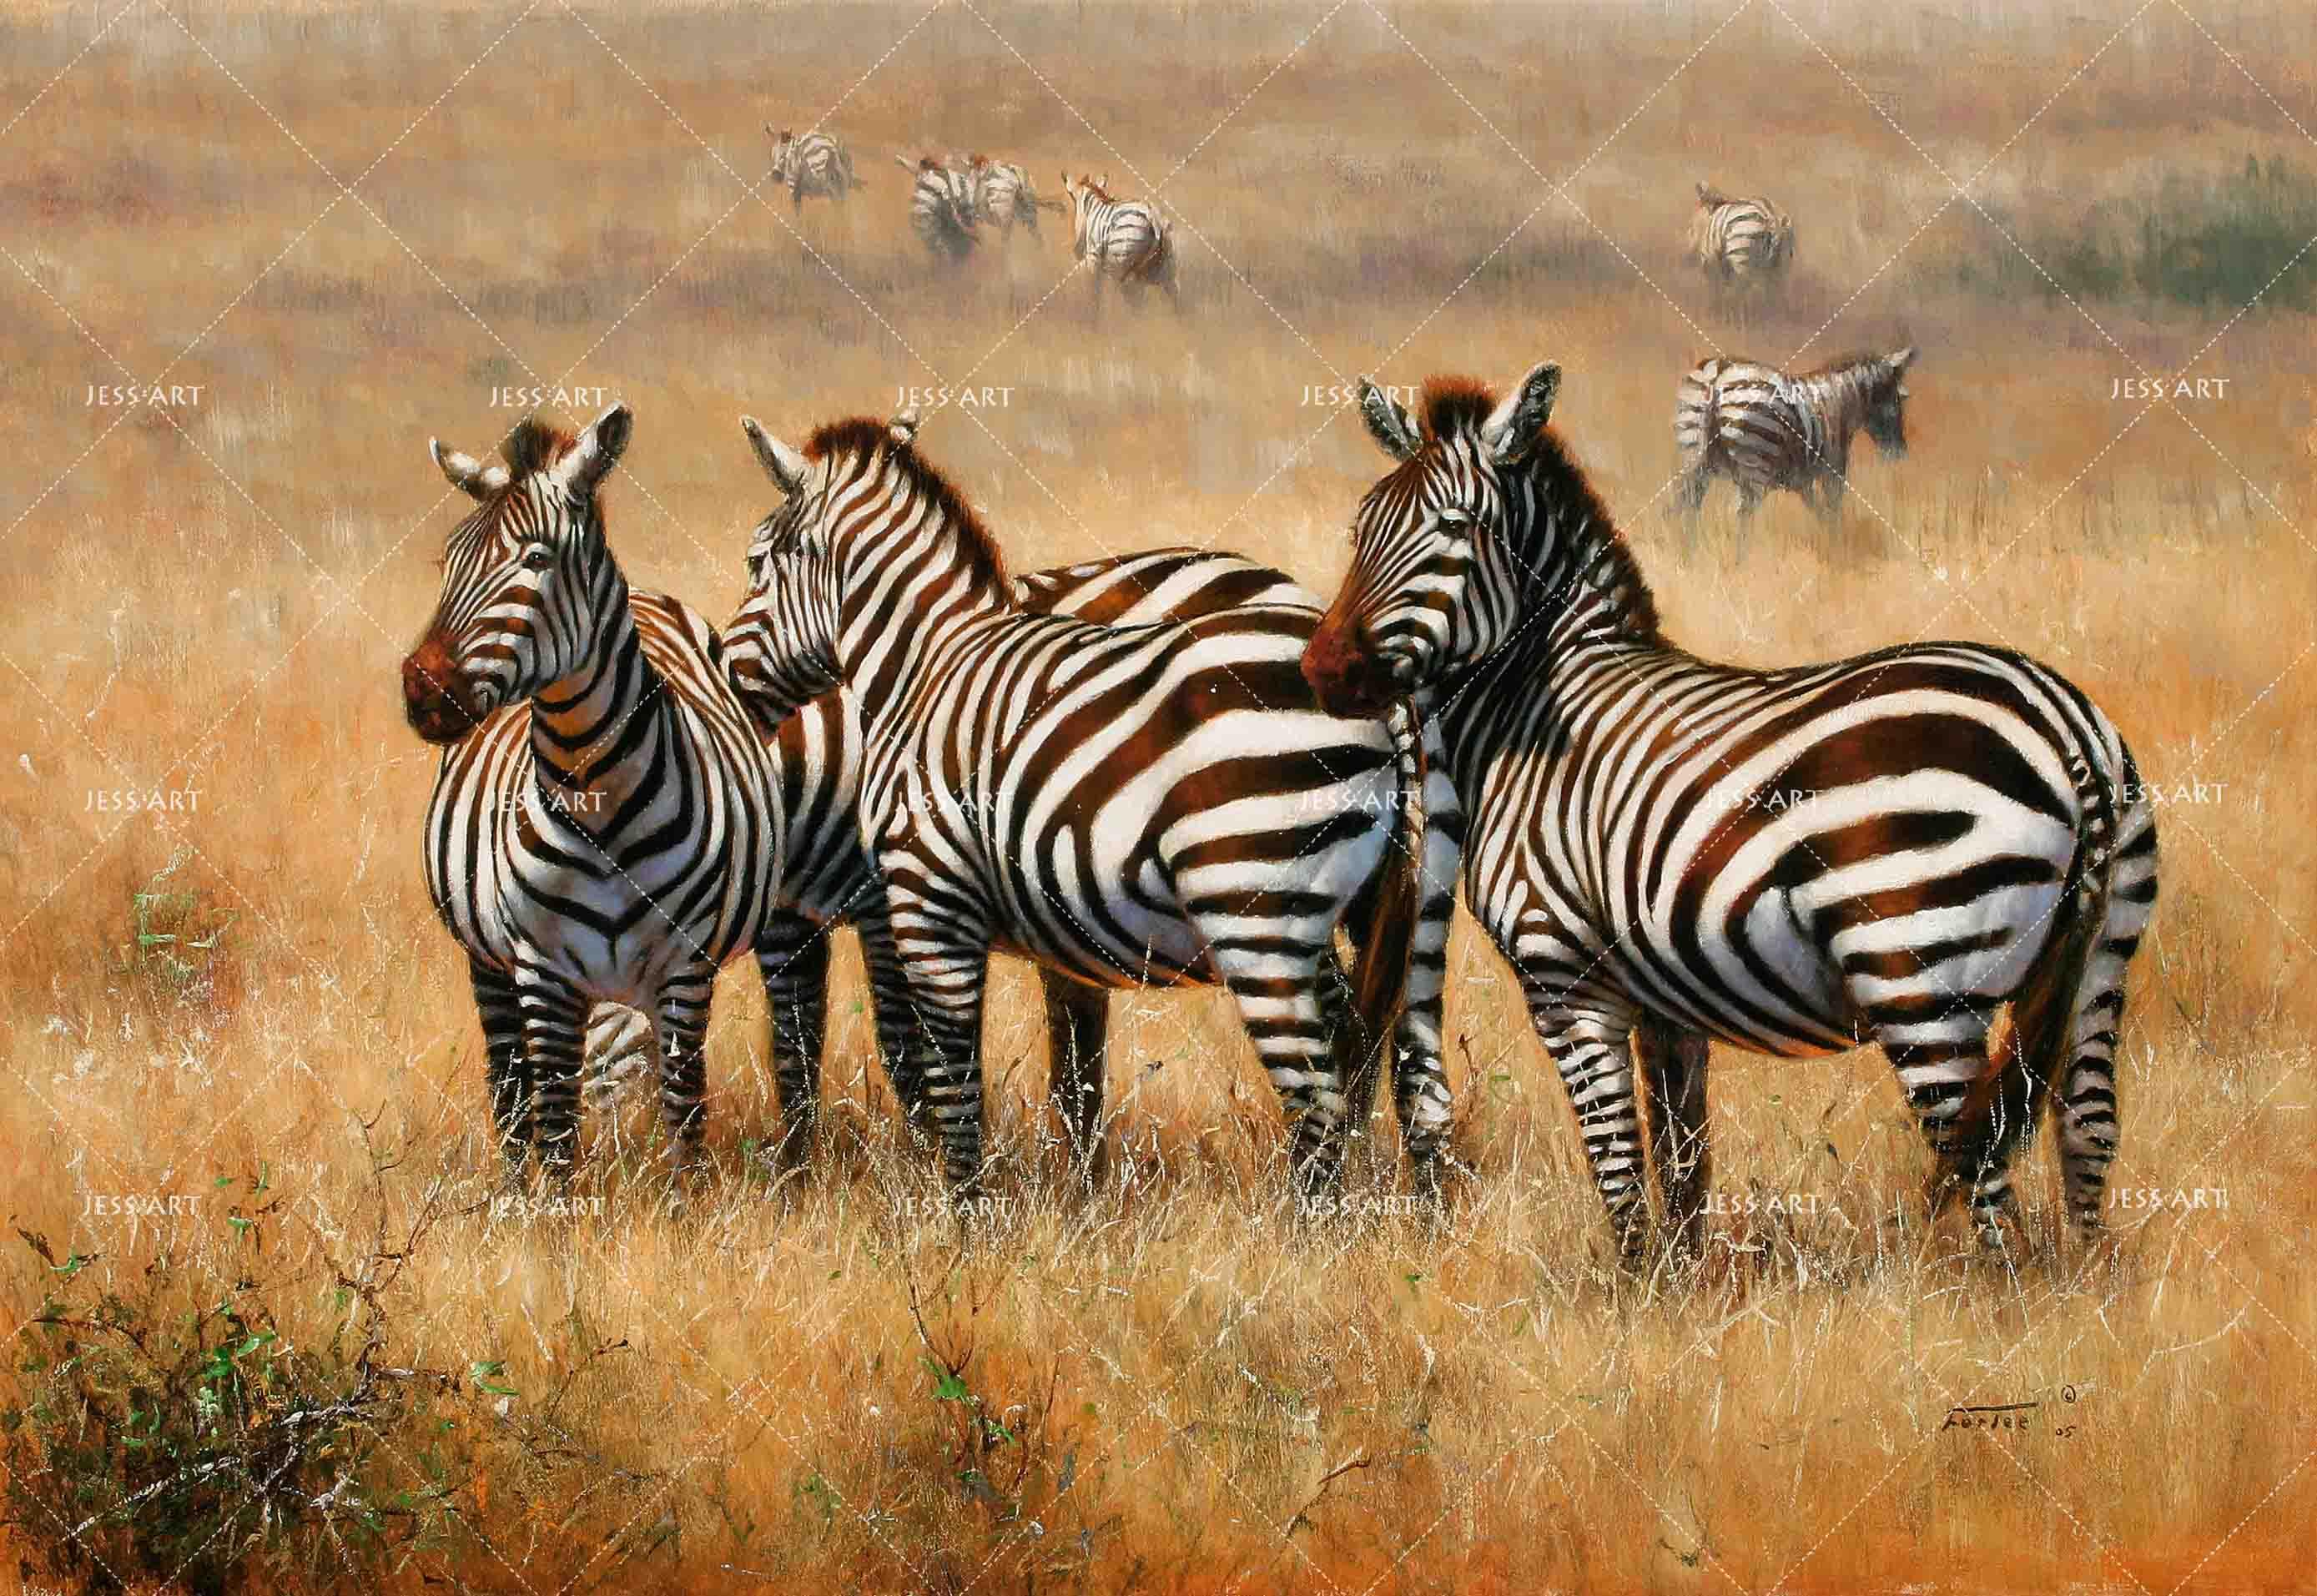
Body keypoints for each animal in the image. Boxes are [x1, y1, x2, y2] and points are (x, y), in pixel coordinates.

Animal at [400, 405, 785, 1188]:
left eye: (535, 560)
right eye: (447, 563)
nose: (422, 691)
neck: (597, 798)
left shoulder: (684, 969)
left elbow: (683, 1111)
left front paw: (682, 1204)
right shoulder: (540, 967)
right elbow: (552, 1119)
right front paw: (553, 1215)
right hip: (490, 964)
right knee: (509, 1083)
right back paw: (514, 1187)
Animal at [721, 407, 1459, 1199]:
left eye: (755, 564)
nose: (727, 675)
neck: (927, 667)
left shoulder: (919, 899)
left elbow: (936, 1076)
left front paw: (953, 1210)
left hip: (1254, 906)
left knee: (1320, 1096)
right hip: (1386, 905)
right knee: (1406, 1069)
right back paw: (1414, 1215)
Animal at [1061, 173, 1177, 309]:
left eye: (1072, 198)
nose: (1077, 249)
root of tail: (1154, 218)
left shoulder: (1093, 261)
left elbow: (1094, 294)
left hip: (1123, 266)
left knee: (1132, 301)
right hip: (1166, 271)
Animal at [1674, 349, 1916, 526]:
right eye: (1899, 400)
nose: (1900, 453)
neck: (1838, 402)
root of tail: (1718, 375)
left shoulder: (1801, 480)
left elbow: (1820, 513)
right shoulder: (1833, 470)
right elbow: (1833, 513)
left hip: (1694, 459)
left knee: (1686, 508)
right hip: (1755, 466)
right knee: (1741, 516)